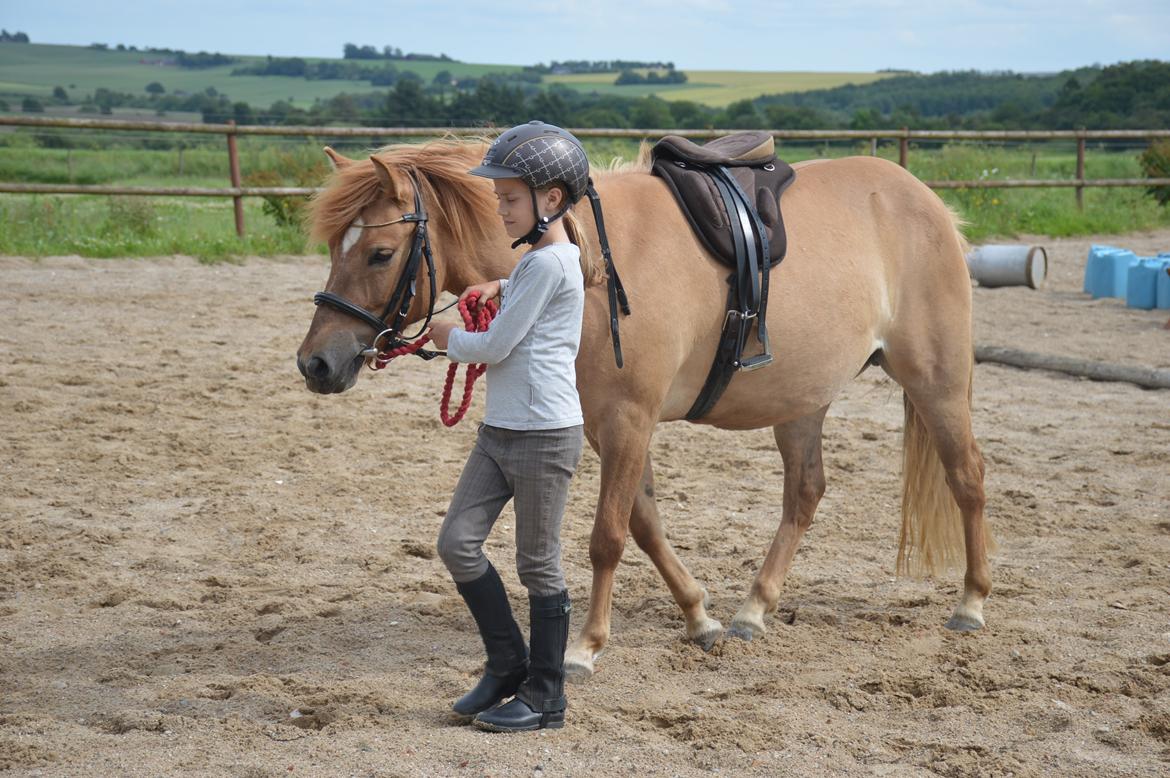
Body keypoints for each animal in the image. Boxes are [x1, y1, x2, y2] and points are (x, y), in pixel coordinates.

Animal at [297, 138, 992, 678]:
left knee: (967, 478)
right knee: (805, 492)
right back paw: (753, 609)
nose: (315, 363)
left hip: (935, 380)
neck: (590, 263)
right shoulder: (609, 428)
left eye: (380, 254)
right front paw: (700, 617)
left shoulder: (629, 420)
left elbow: (608, 536)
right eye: (333, 247)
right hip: (803, 399)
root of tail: (926, 200)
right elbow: (644, 523)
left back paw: (971, 604)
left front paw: (584, 647)